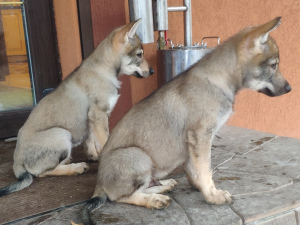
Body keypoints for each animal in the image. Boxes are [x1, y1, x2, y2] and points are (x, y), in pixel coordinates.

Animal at [0, 18, 154, 197]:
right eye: (139, 54)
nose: (152, 71)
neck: (104, 68)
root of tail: (16, 162)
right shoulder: (98, 114)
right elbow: (104, 140)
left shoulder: (90, 119)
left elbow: (90, 140)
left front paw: (94, 156)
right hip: (61, 134)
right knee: (43, 172)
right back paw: (76, 168)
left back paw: (69, 160)